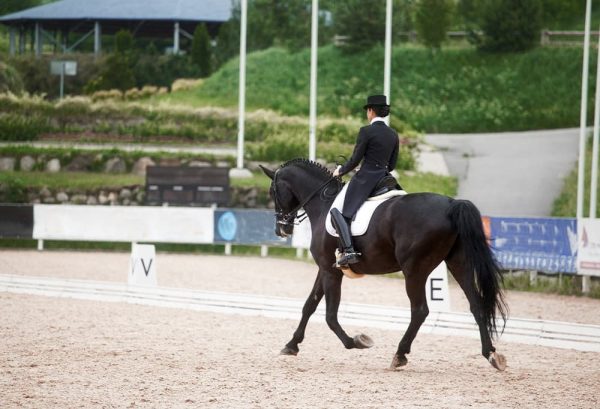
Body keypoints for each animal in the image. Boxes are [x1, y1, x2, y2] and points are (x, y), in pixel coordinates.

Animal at [260, 159, 508, 370]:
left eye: (273, 192)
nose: (281, 229)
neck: (323, 204)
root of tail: (451, 204)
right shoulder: (326, 268)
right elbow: (309, 306)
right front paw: (291, 345)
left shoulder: (330, 271)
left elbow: (330, 316)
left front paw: (357, 341)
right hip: (458, 263)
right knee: (476, 305)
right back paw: (491, 354)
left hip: (414, 270)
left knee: (420, 310)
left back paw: (399, 355)